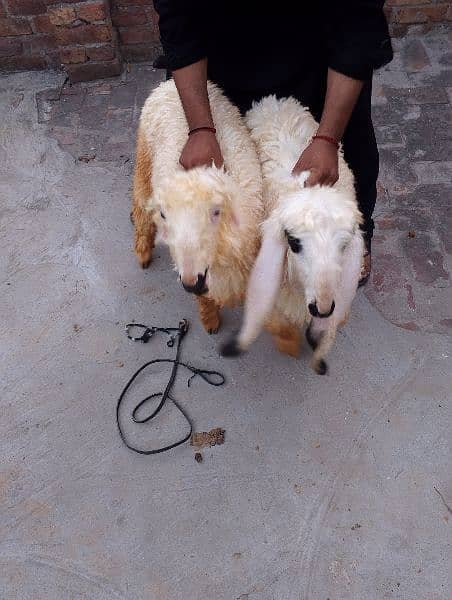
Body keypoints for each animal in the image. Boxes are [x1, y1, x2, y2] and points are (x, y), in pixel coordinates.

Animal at [131, 79, 264, 332]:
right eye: (165, 215)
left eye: (215, 212)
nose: (191, 282)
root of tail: (167, 83)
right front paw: (210, 320)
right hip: (144, 155)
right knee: (140, 204)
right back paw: (142, 251)